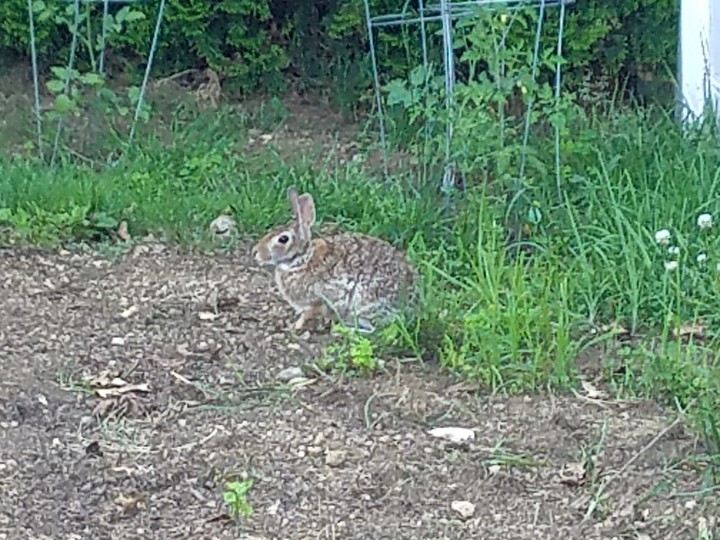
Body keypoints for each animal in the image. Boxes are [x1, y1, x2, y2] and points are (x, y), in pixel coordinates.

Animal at [252, 186, 418, 333]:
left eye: (283, 239)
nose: (256, 253)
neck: (301, 258)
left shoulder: (319, 299)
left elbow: (308, 314)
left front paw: (294, 327)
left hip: (361, 305)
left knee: (373, 329)